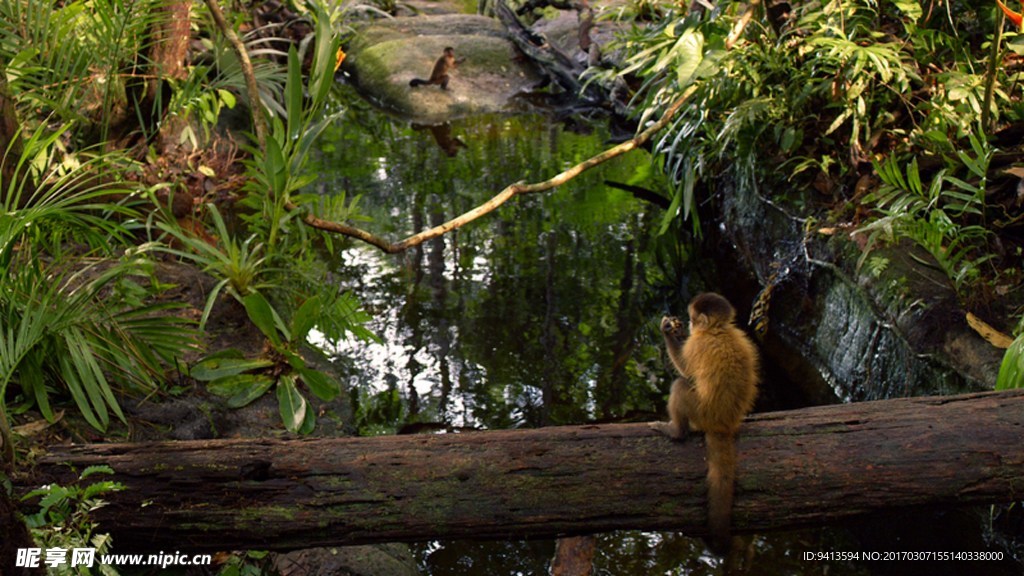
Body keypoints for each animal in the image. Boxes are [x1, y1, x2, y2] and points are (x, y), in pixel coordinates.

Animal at [651, 291, 757, 553]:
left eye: (692, 320)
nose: (688, 325)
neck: (718, 330)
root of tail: (723, 423)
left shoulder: (697, 343)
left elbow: (685, 370)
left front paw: (667, 331)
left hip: (700, 412)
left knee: (680, 386)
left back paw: (676, 432)